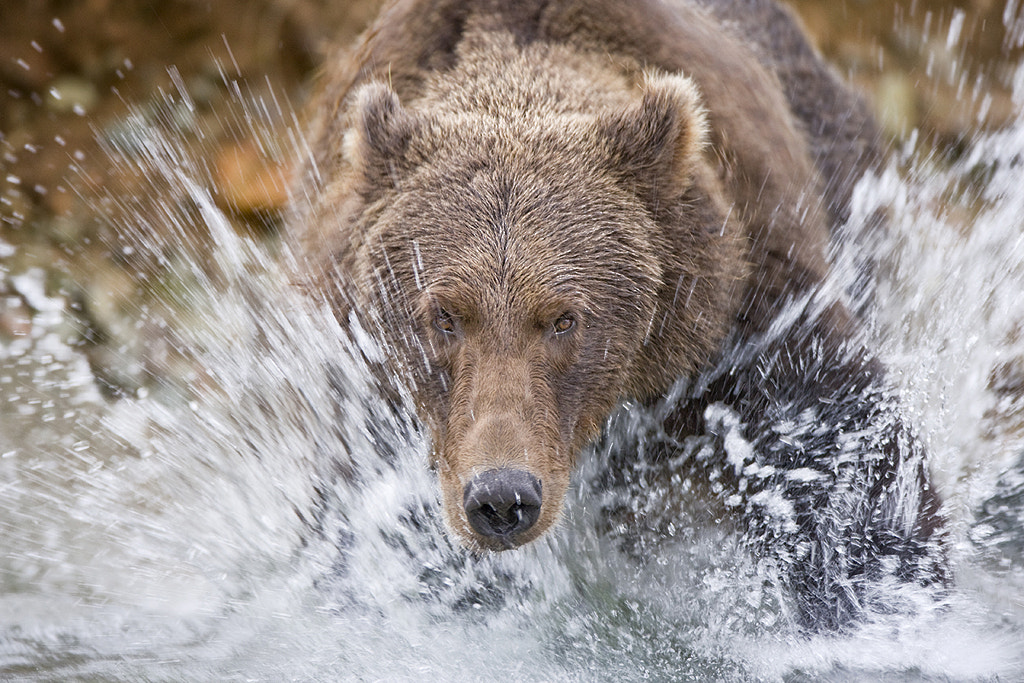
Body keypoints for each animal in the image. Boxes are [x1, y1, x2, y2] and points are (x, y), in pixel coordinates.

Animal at [288, 0, 942, 630]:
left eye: (563, 319)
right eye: (445, 315)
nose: (501, 496)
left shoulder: (754, 314)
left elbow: (841, 455)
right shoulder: (369, 399)